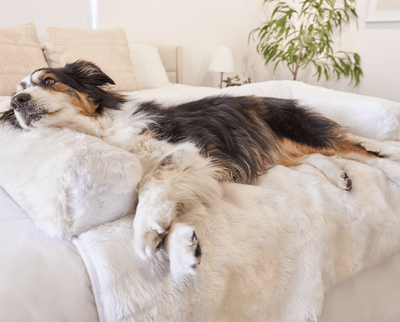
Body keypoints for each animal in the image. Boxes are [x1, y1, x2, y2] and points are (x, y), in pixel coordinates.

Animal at [0, 61, 388, 282]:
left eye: (48, 81)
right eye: (19, 91)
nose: (16, 102)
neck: (102, 128)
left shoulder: (189, 150)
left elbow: (149, 182)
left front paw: (145, 232)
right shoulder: (198, 170)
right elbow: (174, 203)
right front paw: (181, 248)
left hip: (296, 131)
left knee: (358, 149)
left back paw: (383, 162)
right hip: (279, 149)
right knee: (314, 158)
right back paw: (340, 177)